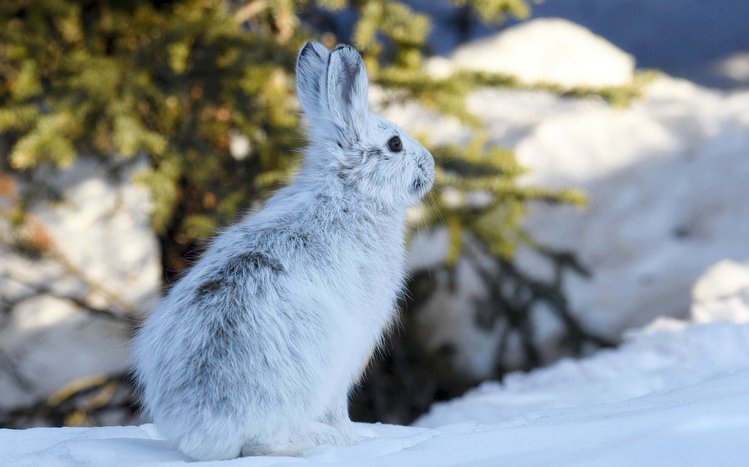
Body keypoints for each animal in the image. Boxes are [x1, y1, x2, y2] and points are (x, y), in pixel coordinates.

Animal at [132, 41, 435, 461]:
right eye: (395, 144)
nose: (431, 166)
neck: (350, 191)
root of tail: (206, 427)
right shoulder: (353, 347)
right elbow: (340, 408)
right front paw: (353, 437)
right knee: (267, 441)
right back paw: (324, 439)